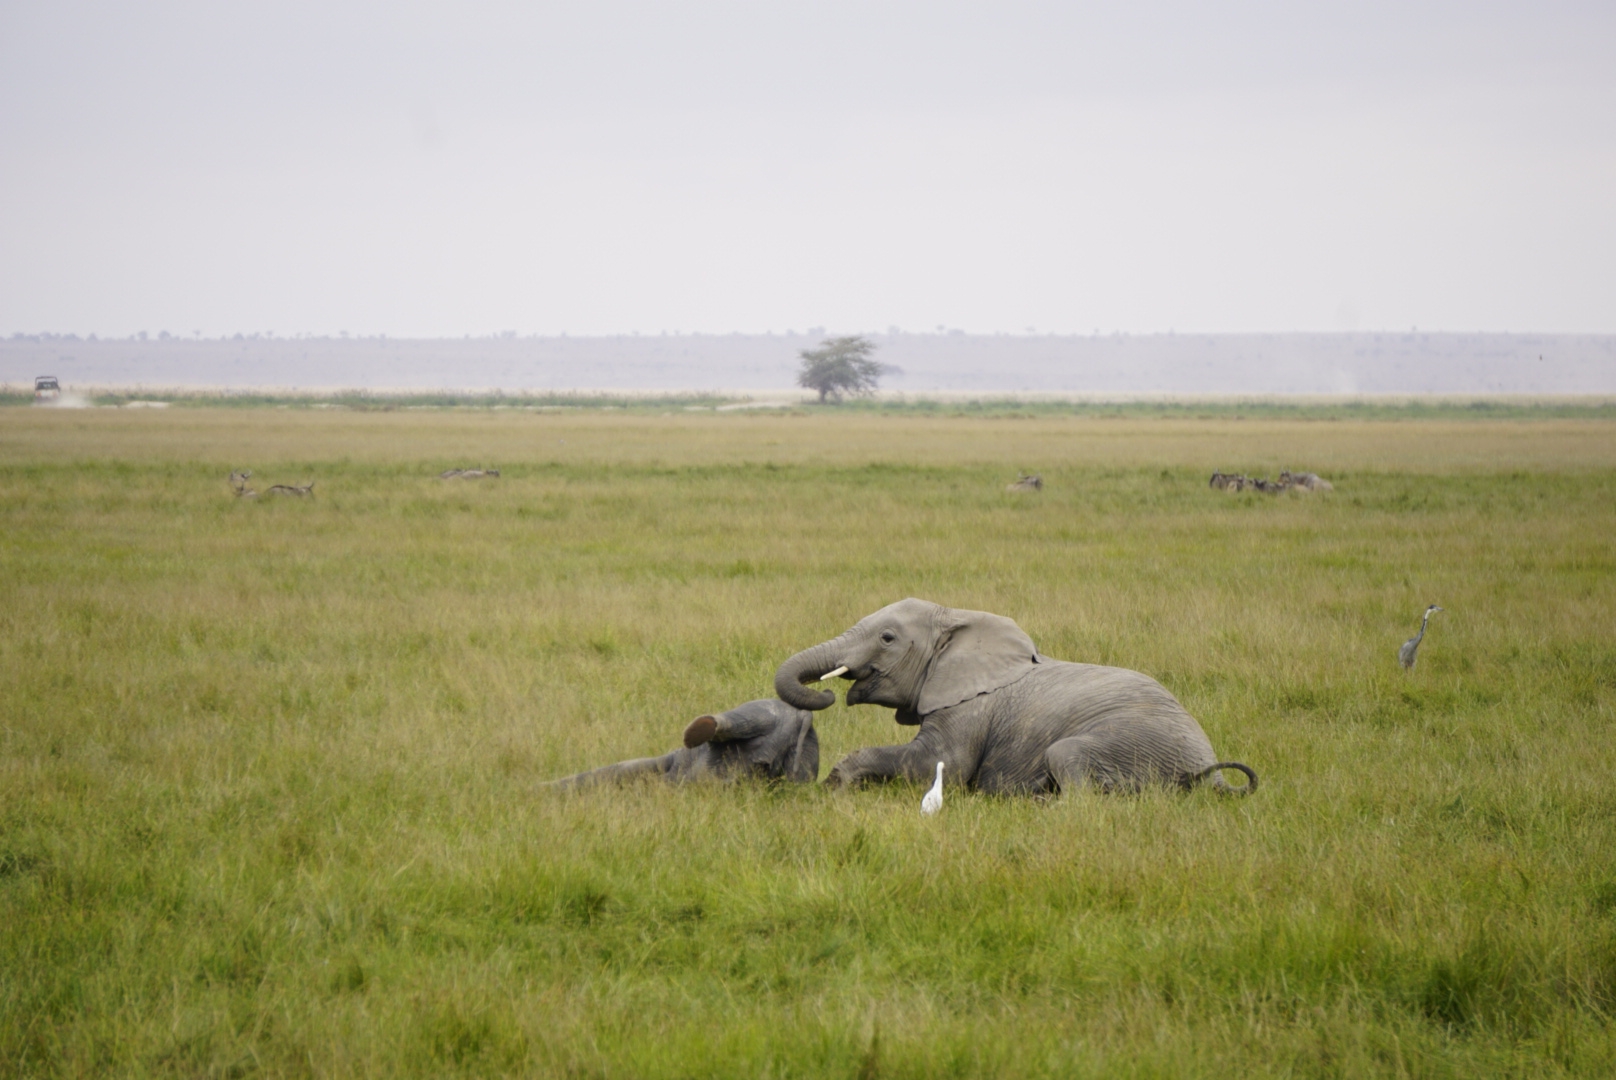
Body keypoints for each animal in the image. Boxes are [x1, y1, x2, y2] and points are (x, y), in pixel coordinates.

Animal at [775, 598, 1254, 792]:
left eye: (888, 639)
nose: (828, 692)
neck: (959, 617)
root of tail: (1211, 774)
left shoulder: (969, 709)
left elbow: (939, 764)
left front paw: (835, 788)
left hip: (1136, 742)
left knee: (1068, 760)